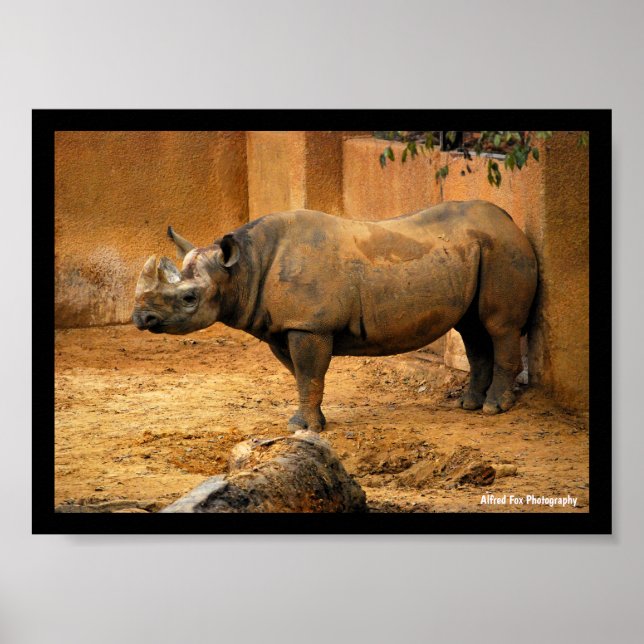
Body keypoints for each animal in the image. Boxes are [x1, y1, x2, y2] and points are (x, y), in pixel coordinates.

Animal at [132, 201, 537, 431]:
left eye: (189, 298)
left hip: (503, 250)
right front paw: (309, 422)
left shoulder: (309, 325)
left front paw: (305, 429)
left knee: (498, 326)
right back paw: (470, 405)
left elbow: (310, 374)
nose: (141, 319)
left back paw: (493, 409)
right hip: (479, 249)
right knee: (472, 328)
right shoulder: (283, 325)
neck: (244, 267)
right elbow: (302, 377)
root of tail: (511, 221)